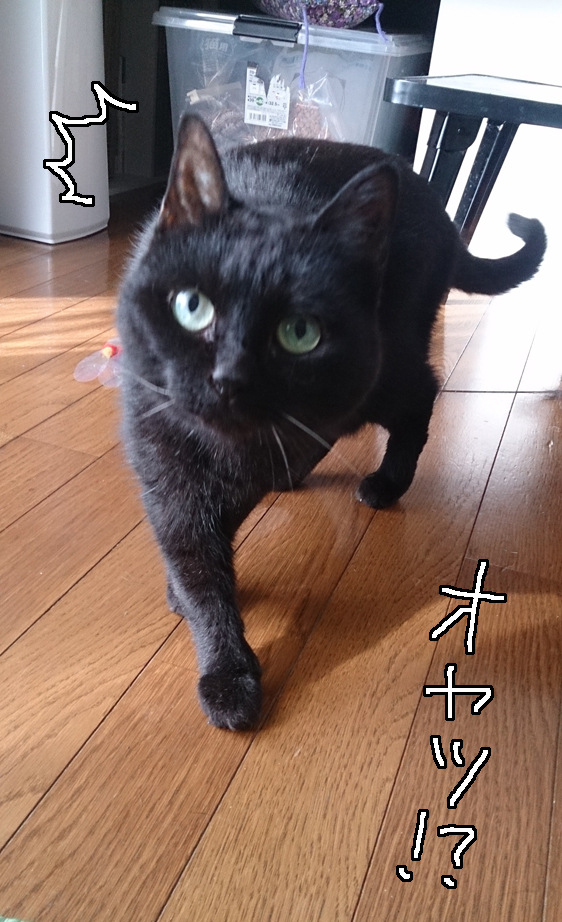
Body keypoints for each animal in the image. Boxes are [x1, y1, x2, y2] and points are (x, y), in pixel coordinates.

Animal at [117, 114, 546, 730]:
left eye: (300, 333)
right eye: (190, 306)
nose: (229, 379)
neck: (228, 448)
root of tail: (434, 203)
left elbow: (211, 541)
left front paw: (227, 676)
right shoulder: (163, 460)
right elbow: (194, 556)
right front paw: (211, 635)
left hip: (381, 367)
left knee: (421, 393)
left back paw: (386, 484)